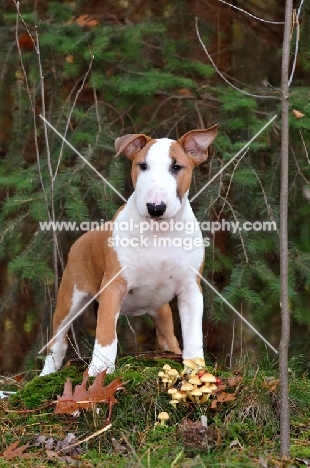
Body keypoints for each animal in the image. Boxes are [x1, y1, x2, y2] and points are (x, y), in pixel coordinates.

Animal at [40, 126, 218, 378]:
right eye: (142, 165)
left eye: (176, 167)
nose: (155, 208)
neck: (160, 232)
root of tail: (83, 238)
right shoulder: (114, 286)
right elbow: (106, 333)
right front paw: (99, 371)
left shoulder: (191, 288)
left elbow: (192, 334)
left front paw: (196, 371)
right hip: (70, 297)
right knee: (58, 341)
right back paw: (46, 373)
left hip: (161, 310)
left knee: (169, 338)